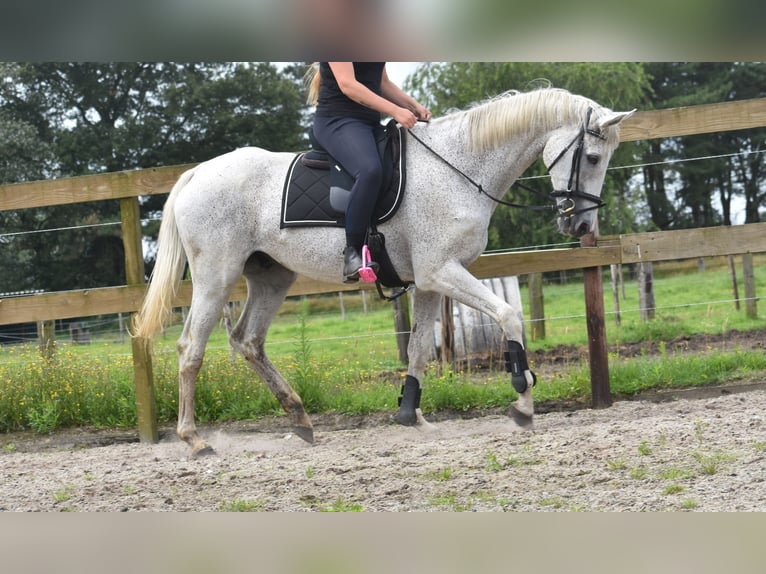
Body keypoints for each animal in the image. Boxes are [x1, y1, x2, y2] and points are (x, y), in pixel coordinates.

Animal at [134, 88, 636, 456]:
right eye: (593, 158)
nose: (581, 225)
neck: (459, 168)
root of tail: (196, 174)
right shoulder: (441, 271)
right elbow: (508, 316)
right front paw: (523, 398)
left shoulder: (430, 281)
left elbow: (418, 350)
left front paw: (411, 416)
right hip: (216, 276)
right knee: (191, 348)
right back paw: (195, 439)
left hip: (272, 277)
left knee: (248, 341)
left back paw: (299, 419)